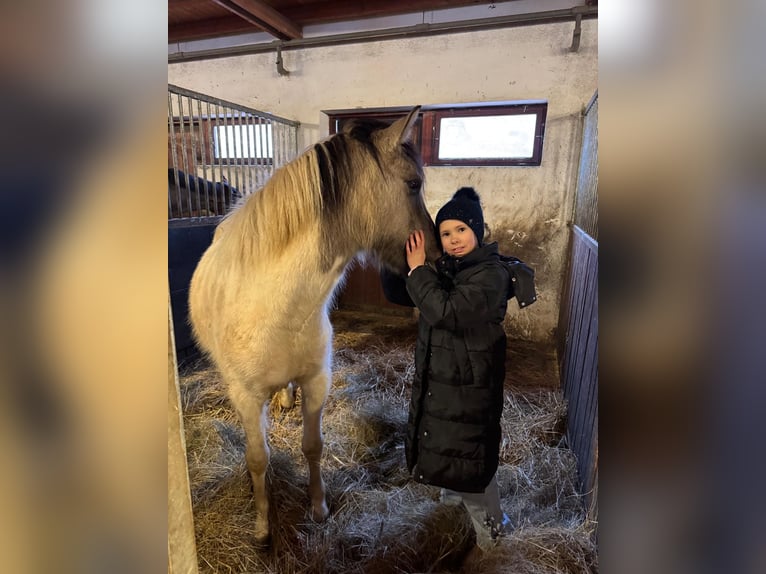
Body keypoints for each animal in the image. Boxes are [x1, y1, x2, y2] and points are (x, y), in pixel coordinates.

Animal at [188, 107, 440, 544]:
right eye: (413, 183)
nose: (441, 256)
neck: (276, 310)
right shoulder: (246, 397)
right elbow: (258, 459)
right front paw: (262, 527)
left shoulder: (317, 381)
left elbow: (313, 446)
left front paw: (319, 508)